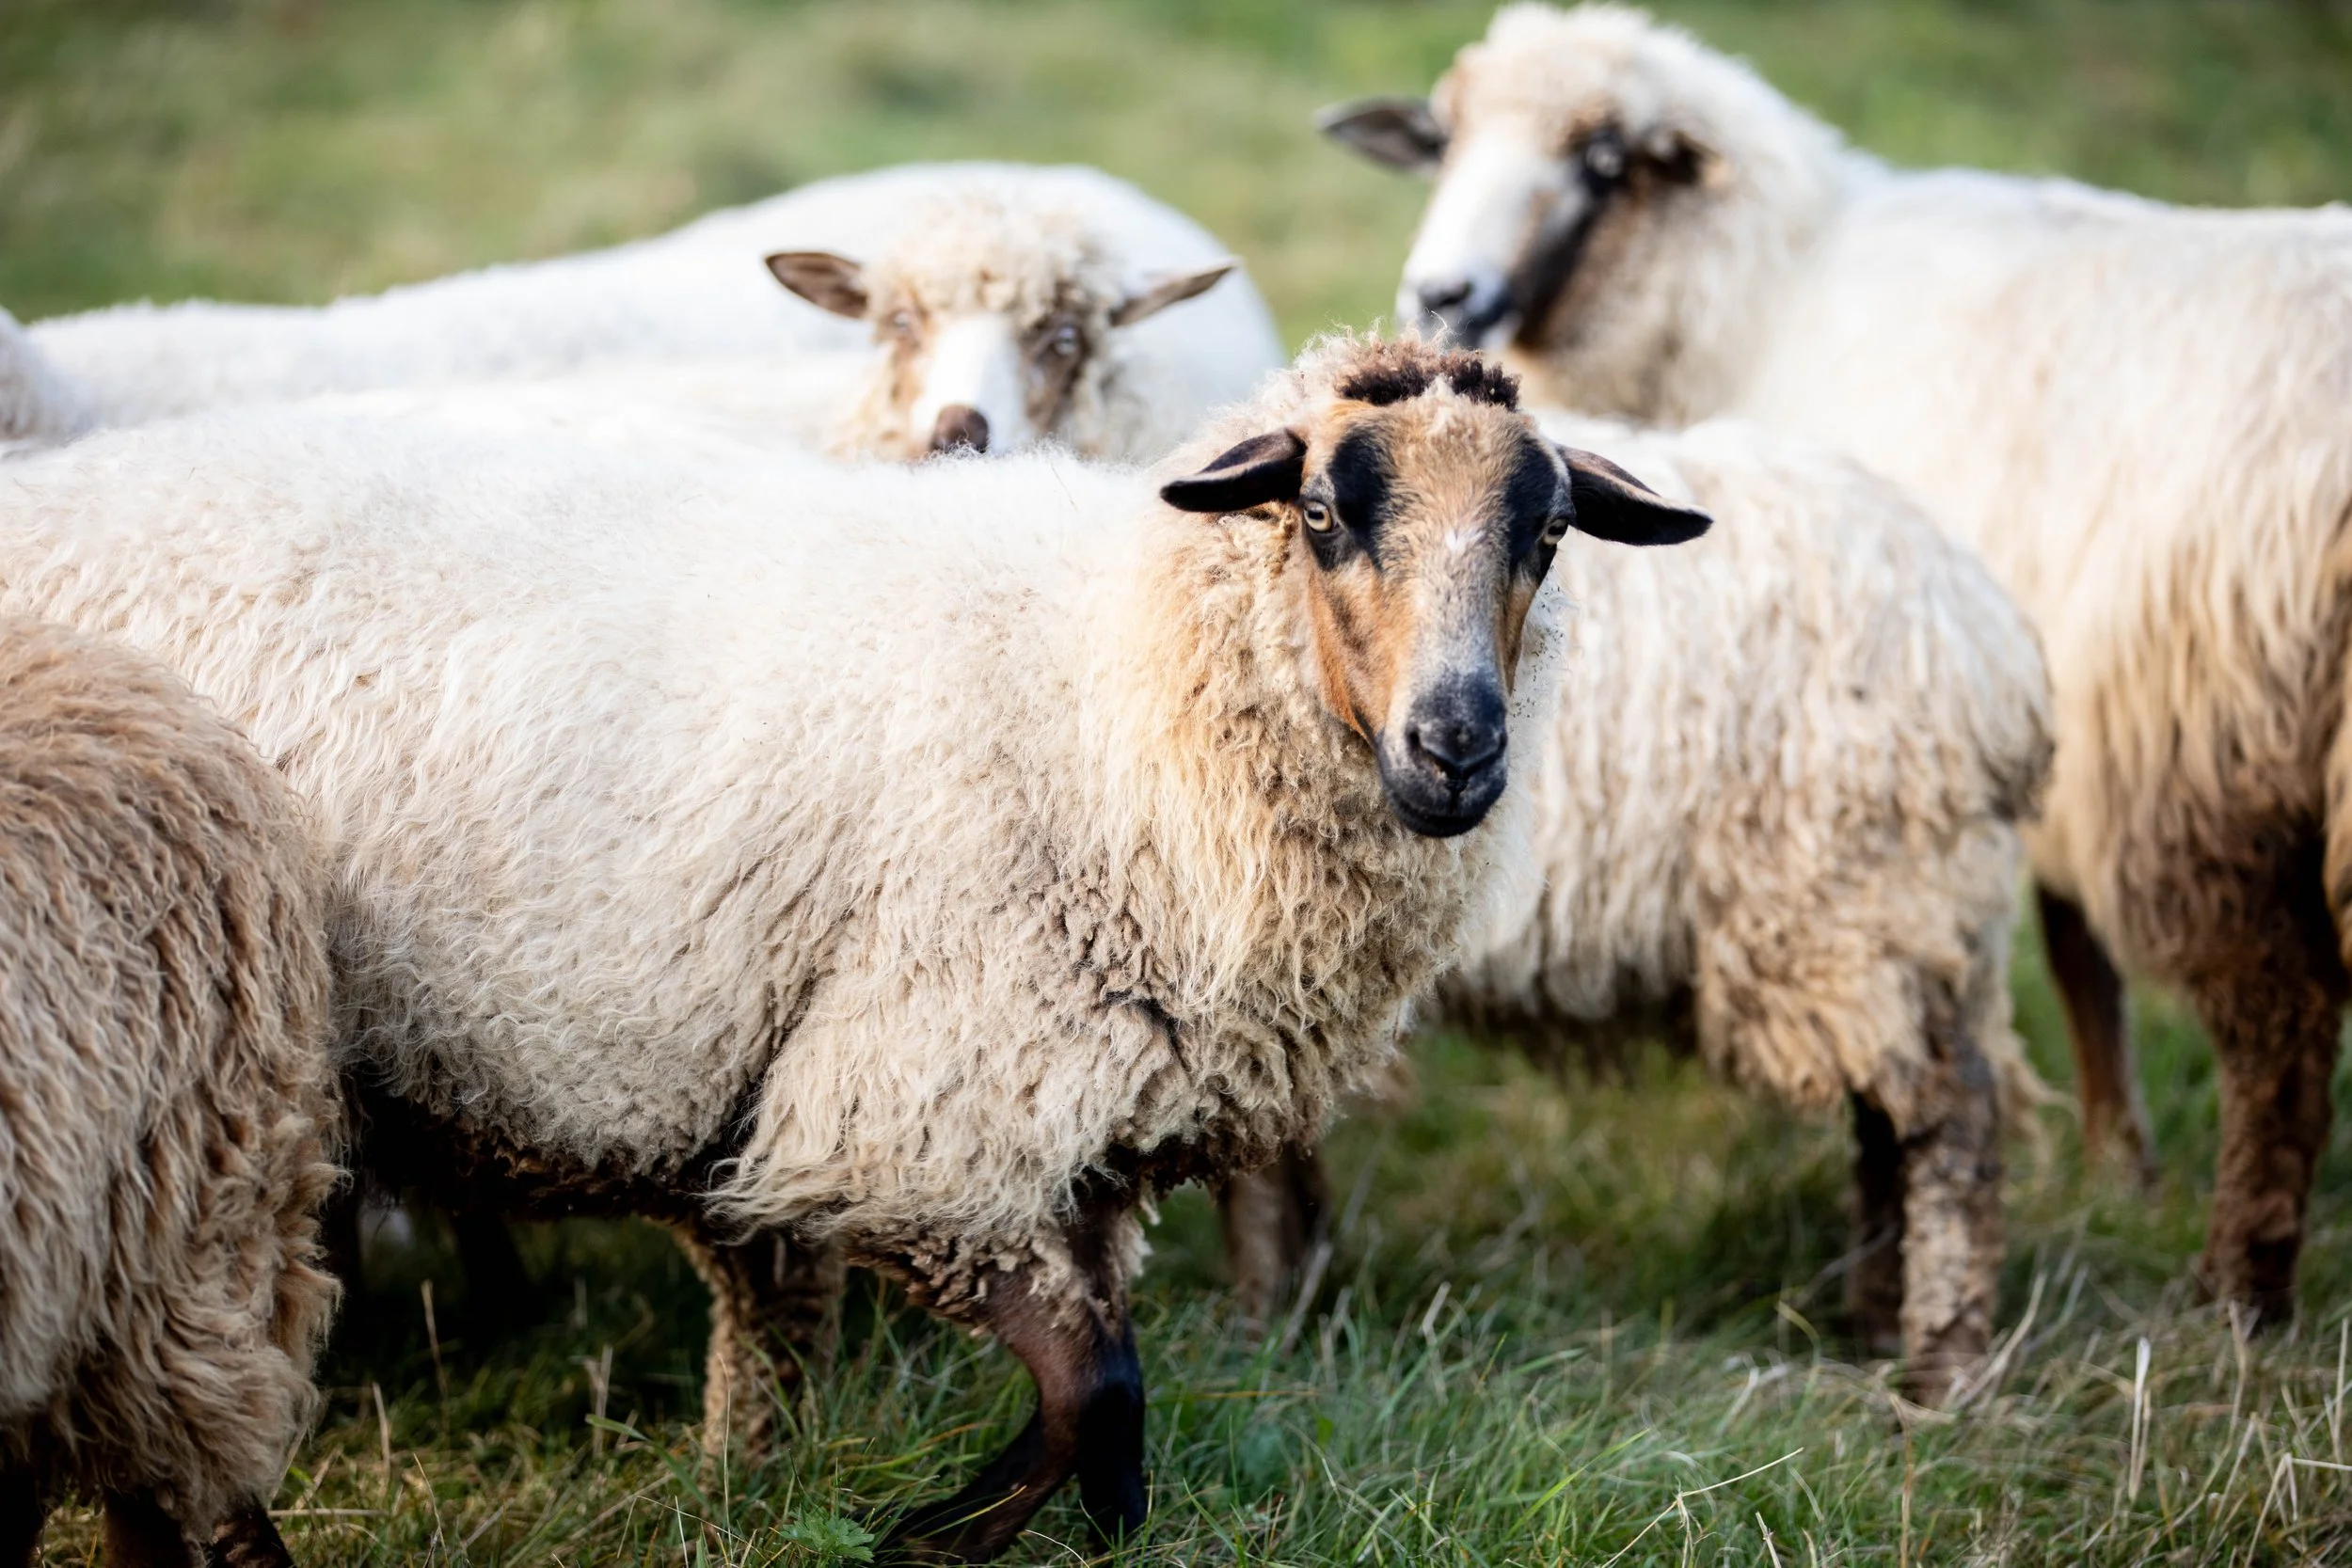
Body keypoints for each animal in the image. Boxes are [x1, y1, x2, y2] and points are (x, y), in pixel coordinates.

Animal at [1220, 414, 2052, 1400]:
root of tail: (1993, 646)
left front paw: (1252, 1333)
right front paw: (1289, 1306)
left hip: (1856, 899)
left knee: (1953, 1114)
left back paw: (1943, 1369)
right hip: (1913, 925)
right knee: (1894, 1119)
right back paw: (1882, 1321)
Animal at [1323, 1, 2352, 1324]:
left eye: (1603, 162)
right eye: (1445, 139)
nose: (1444, 294)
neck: (1768, 288)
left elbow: (2069, 953)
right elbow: (2070, 950)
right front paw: (2117, 1160)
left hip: (2217, 754)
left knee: (2277, 1021)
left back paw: (2239, 1287)